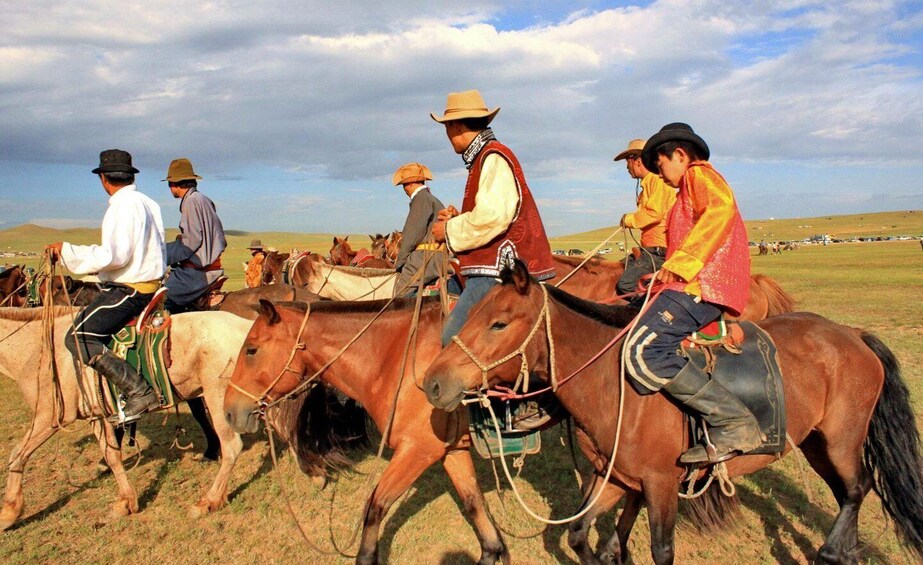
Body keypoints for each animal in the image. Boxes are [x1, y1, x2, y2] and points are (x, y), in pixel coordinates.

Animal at [226, 298, 512, 560]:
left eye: (251, 350)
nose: (229, 412)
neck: (397, 357)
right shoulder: (451, 449)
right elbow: (474, 503)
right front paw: (495, 550)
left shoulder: (417, 451)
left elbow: (375, 507)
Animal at [424, 262, 923, 564]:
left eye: (499, 322)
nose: (432, 382)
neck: (613, 383)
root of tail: (852, 334)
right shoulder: (618, 478)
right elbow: (581, 534)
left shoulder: (661, 484)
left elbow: (660, 549)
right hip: (816, 442)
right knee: (847, 492)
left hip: (841, 439)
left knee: (857, 488)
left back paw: (832, 553)